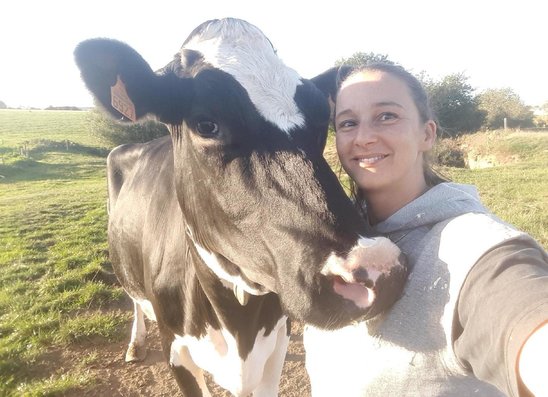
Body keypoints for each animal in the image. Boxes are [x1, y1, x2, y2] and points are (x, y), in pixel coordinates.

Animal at [74, 17, 406, 394]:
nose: (376, 267)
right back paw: (135, 343)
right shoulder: (175, 349)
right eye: (206, 124)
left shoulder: (277, 342)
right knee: (133, 297)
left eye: (324, 119)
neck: (237, 323)